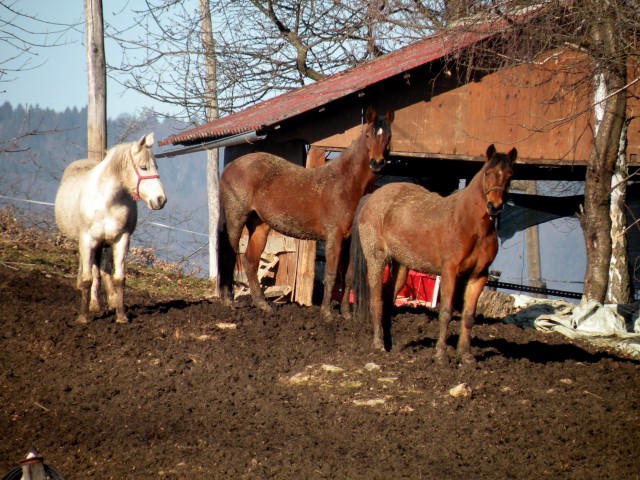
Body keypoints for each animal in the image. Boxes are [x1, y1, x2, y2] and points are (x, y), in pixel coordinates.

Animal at [54, 133, 166, 324]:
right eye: (143, 167)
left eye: (156, 166)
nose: (160, 199)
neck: (107, 201)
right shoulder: (87, 240)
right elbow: (88, 278)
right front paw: (83, 316)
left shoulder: (121, 239)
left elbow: (119, 278)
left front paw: (121, 316)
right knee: (91, 270)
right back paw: (92, 302)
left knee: (101, 270)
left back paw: (106, 302)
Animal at [218, 105, 392, 316]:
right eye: (367, 135)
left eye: (389, 136)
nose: (377, 163)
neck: (345, 183)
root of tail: (231, 166)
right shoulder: (334, 237)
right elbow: (331, 274)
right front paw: (326, 313)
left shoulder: (349, 239)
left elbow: (348, 276)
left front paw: (346, 314)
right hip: (236, 218)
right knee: (229, 254)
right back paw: (228, 300)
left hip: (259, 225)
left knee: (250, 261)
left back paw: (262, 303)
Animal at [344, 144, 516, 362]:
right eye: (488, 173)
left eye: (510, 176)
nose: (495, 206)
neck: (472, 225)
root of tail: (371, 198)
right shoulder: (450, 272)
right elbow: (446, 312)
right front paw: (441, 355)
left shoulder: (479, 276)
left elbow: (469, 315)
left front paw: (466, 356)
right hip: (376, 259)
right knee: (376, 299)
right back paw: (378, 345)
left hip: (400, 266)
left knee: (388, 298)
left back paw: (390, 345)